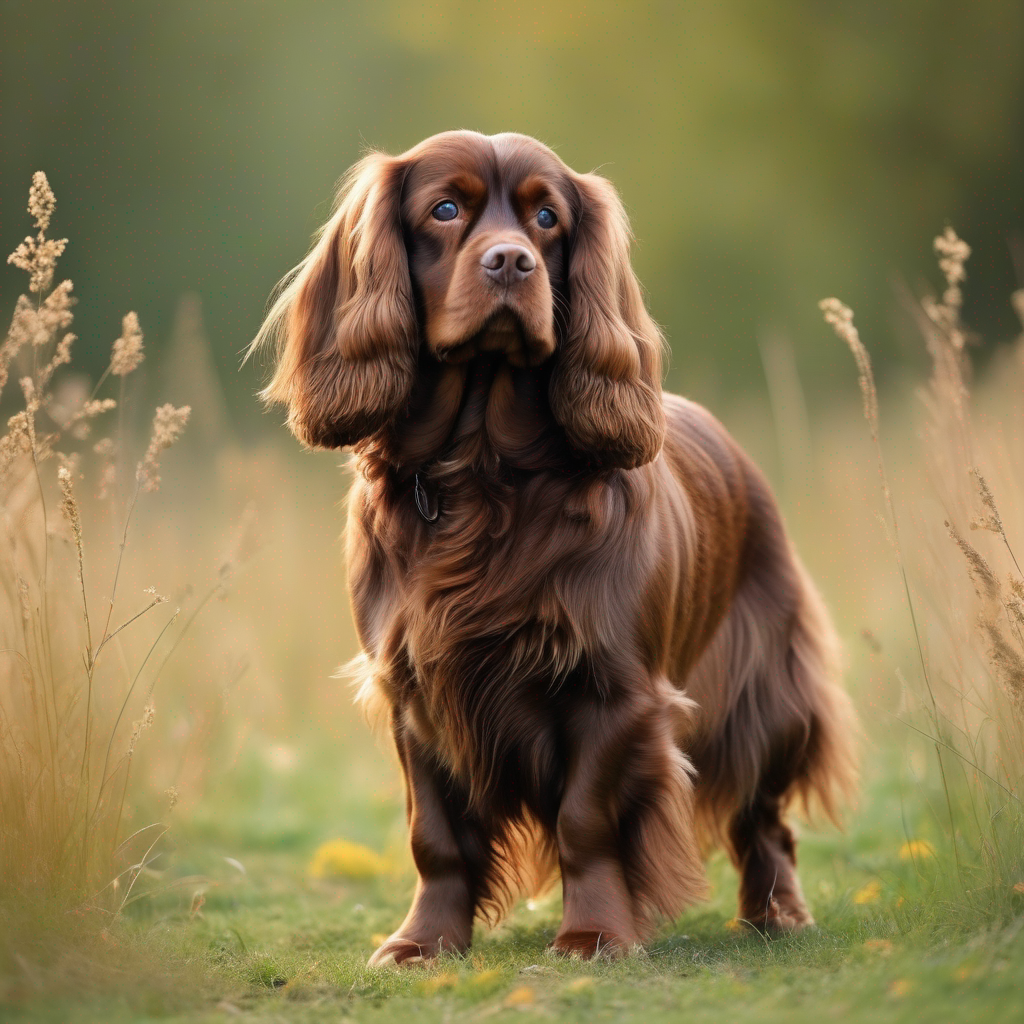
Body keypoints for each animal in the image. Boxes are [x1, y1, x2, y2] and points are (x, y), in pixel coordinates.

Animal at [253, 130, 856, 966]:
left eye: (547, 218)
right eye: (445, 209)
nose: (511, 262)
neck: (483, 472)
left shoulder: (611, 691)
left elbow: (585, 822)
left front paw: (594, 934)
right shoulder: (416, 691)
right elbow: (435, 835)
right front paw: (423, 942)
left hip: (767, 699)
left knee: (763, 818)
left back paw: (778, 913)